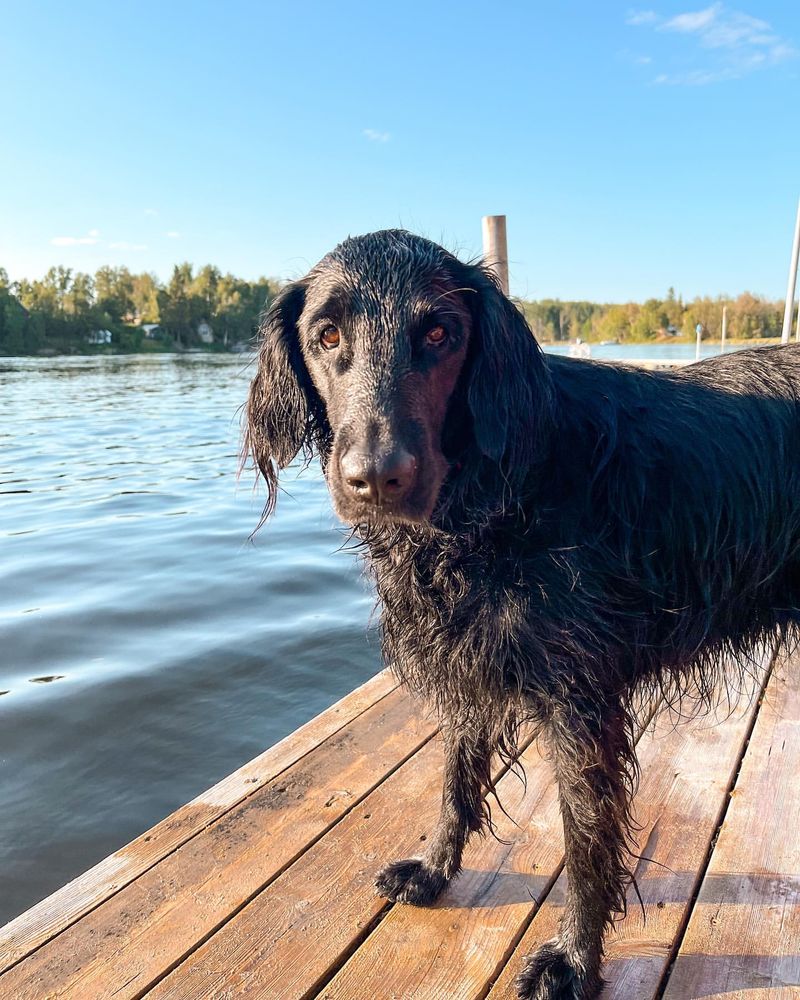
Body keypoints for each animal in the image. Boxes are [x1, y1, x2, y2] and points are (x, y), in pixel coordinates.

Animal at [244, 230, 800, 996]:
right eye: (327, 335)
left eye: (440, 334)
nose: (376, 478)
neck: (503, 491)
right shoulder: (468, 664)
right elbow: (456, 780)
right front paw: (436, 872)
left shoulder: (580, 701)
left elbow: (587, 839)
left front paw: (574, 960)